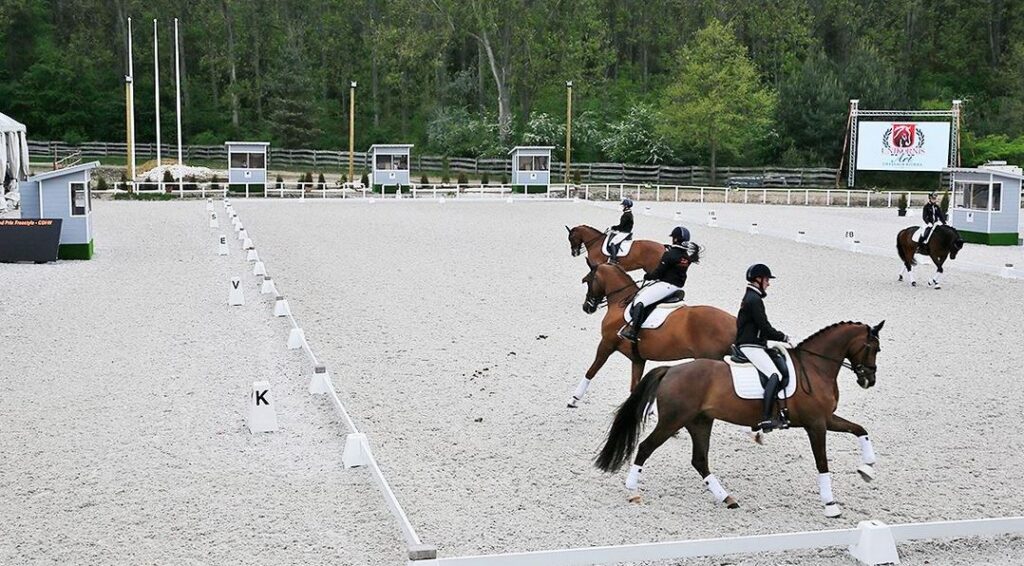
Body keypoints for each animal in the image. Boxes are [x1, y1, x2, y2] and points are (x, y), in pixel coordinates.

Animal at [569, 262, 737, 407]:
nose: (587, 307)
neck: (621, 303)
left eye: (587, 281)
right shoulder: (638, 359)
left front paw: (574, 399)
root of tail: (733, 322)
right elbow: (634, 387)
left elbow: (592, 370)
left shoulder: (606, 344)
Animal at [598, 317, 884, 515]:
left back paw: (727, 498)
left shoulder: (827, 419)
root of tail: (670, 370)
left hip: (699, 422)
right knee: (646, 447)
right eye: (872, 347)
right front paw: (831, 505)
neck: (815, 367)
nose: (869, 379)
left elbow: (861, 429)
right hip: (672, 421)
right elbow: (822, 463)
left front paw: (867, 468)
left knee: (699, 460)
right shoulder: (816, 425)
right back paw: (633, 491)